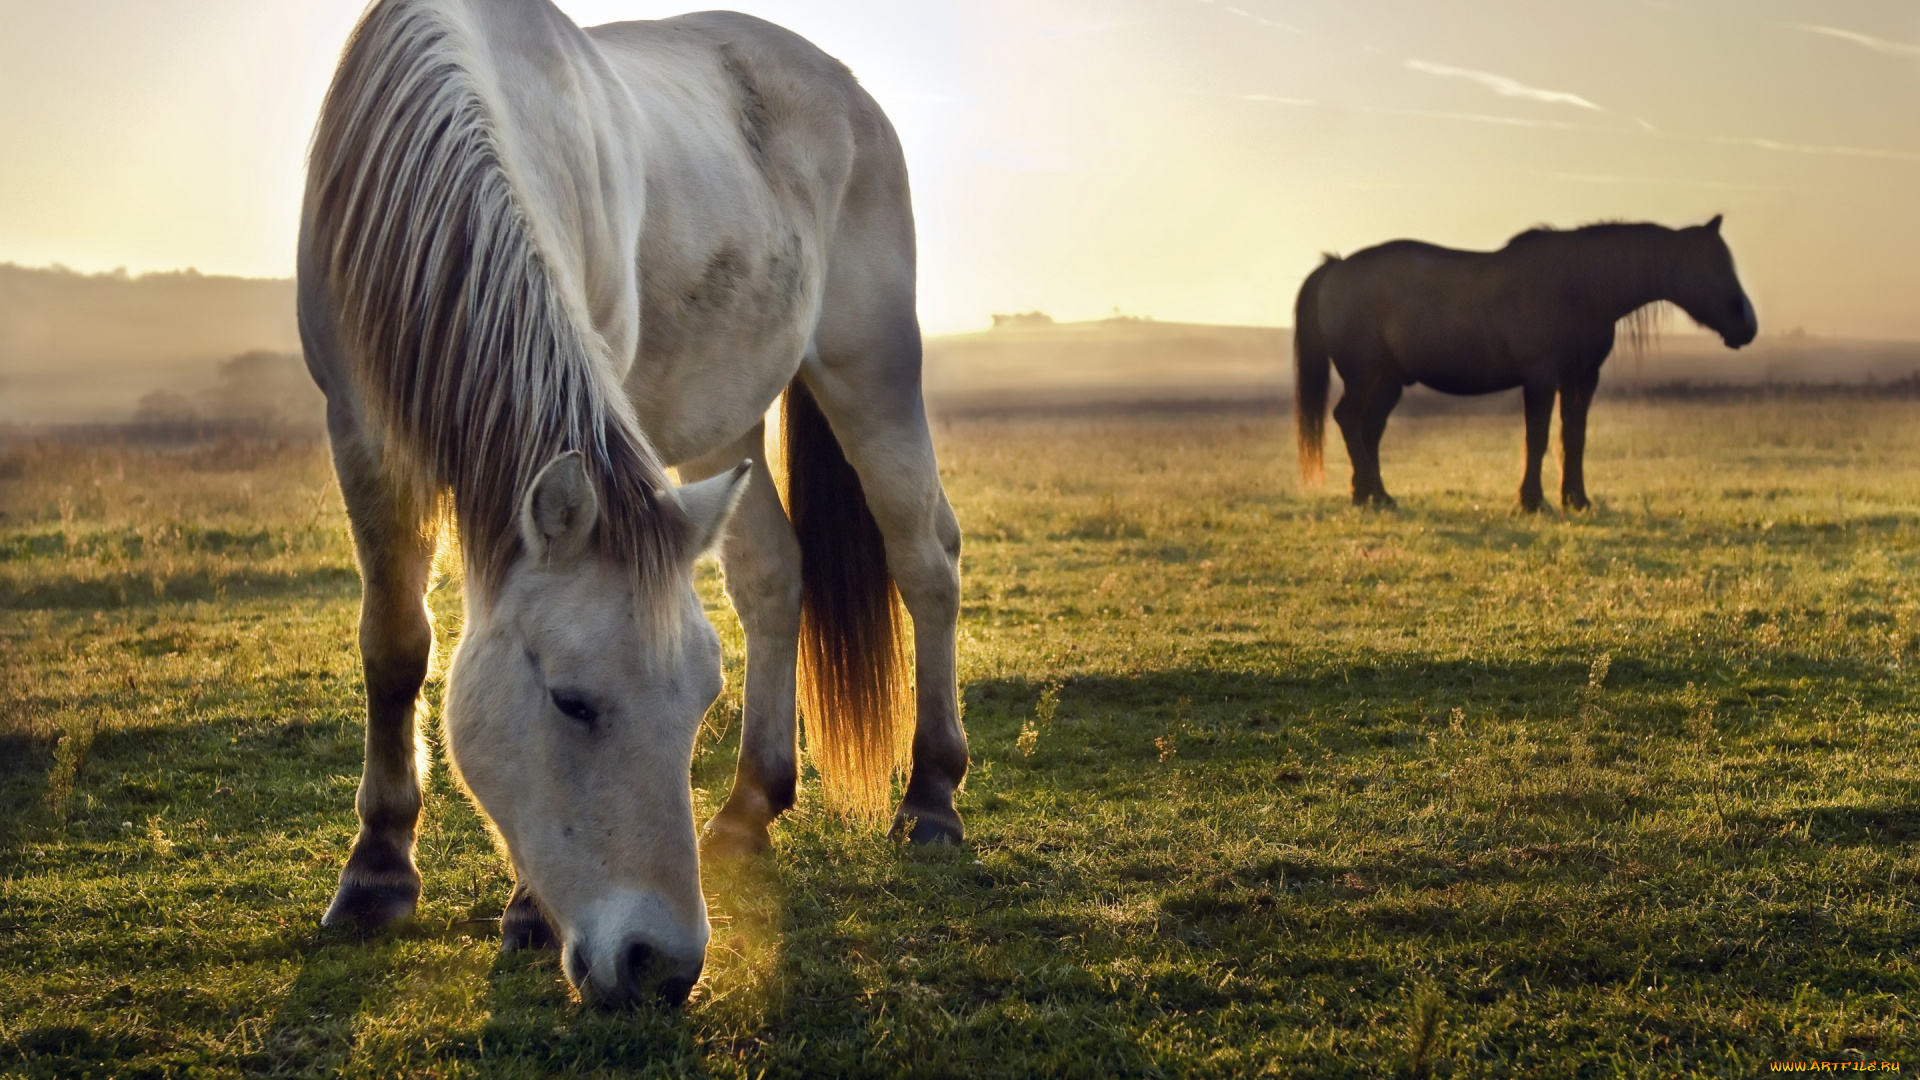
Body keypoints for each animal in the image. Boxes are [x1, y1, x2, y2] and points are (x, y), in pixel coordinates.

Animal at [297, 0, 967, 1006]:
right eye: (572, 703)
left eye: (696, 702)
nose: (663, 965)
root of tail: (849, 91)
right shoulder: (360, 431)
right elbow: (395, 645)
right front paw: (377, 871)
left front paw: (524, 912)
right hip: (725, 428)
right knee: (773, 576)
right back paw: (749, 806)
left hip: (871, 369)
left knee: (925, 556)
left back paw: (931, 798)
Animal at [1290, 217, 1758, 507]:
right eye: (1712, 265)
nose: (1748, 324)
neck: (1576, 287)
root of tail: (1337, 267)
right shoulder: (1540, 378)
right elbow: (1538, 438)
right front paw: (1532, 500)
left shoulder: (1582, 379)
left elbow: (1574, 438)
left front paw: (1577, 499)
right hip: (1363, 375)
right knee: (1349, 419)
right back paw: (1376, 494)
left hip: (1388, 380)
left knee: (1368, 429)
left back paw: (1369, 493)